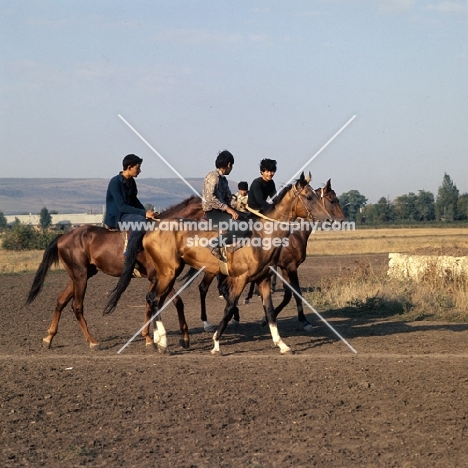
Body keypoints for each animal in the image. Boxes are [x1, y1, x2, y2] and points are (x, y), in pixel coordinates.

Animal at [26, 195, 203, 352]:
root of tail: (63, 236)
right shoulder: (158, 277)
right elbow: (158, 303)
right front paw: (150, 339)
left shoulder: (161, 278)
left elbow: (174, 303)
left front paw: (181, 338)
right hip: (80, 277)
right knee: (76, 306)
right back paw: (92, 341)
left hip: (80, 276)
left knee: (61, 301)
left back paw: (49, 337)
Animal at [103, 172, 330, 354]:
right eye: (309, 197)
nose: (328, 219)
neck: (261, 236)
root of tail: (151, 228)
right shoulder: (240, 279)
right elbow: (229, 309)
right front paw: (216, 344)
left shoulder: (264, 279)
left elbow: (270, 311)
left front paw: (282, 344)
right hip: (168, 272)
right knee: (155, 299)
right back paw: (163, 342)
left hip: (167, 273)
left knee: (155, 299)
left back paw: (159, 340)